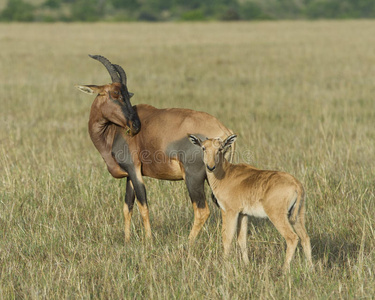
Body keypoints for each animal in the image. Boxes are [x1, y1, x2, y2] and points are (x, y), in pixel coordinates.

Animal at [76, 54, 235, 244]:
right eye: (115, 94)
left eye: (126, 95)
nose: (135, 126)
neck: (114, 131)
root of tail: (225, 131)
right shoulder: (131, 174)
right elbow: (127, 206)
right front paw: (127, 240)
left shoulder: (134, 169)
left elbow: (143, 205)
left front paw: (149, 241)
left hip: (194, 177)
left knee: (202, 210)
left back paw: (187, 244)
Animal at [189, 135, 312, 270]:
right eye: (204, 148)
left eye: (220, 149)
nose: (210, 167)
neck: (227, 174)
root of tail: (296, 184)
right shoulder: (243, 214)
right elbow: (241, 239)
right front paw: (246, 264)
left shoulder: (231, 211)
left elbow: (227, 237)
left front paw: (225, 265)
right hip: (297, 216)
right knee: (305, 238)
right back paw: (311, 269)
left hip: (277, 216)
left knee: (292, 238)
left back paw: (284, 270)